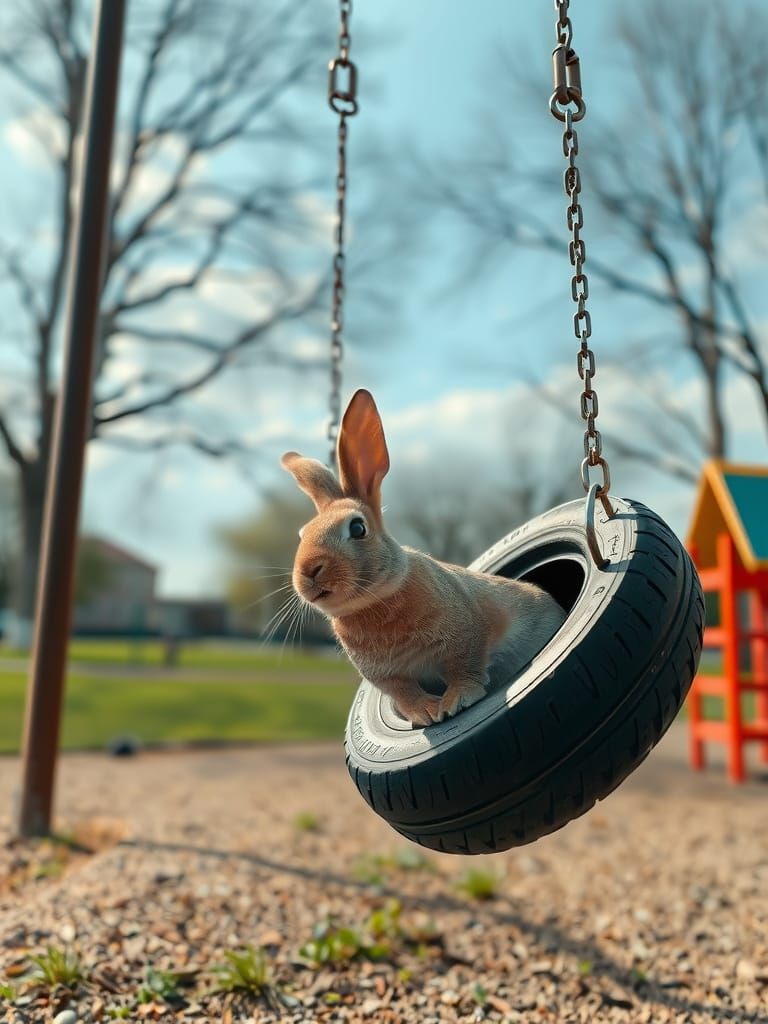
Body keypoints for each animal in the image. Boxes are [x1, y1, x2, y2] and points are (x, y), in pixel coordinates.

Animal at [281, 389, 566, 726]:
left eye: (357, 527)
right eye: (301, 535)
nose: (308, 571)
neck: (374, 601)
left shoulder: (465, 635)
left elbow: (464, 667)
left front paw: (456, 702)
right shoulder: (389, 677)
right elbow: (405, 693)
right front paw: (426, 713)